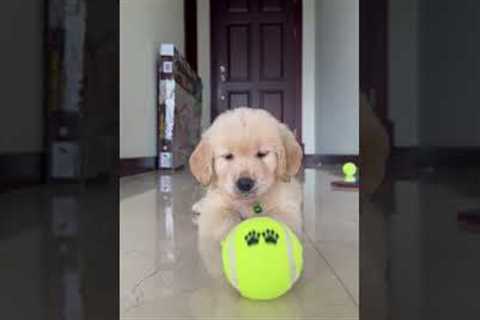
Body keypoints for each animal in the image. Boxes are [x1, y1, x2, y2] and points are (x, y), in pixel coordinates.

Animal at [189, 106, 302, 244]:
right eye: (228, 156)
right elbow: (221, 225)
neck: (249, 203)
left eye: (262, 154)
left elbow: (282, 223)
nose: (245, 183)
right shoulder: (217, 208)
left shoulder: (287, 207)